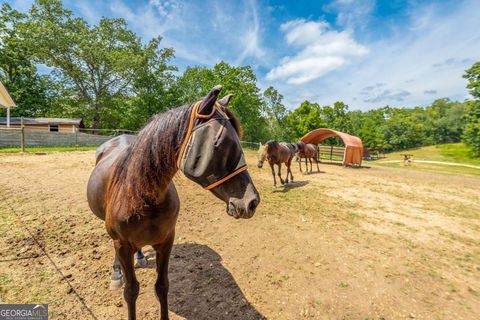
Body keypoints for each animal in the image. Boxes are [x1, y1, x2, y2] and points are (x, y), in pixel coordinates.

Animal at [86, 85, 258, 320]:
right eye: (218, 143)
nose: (252, 201)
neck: (144, 197)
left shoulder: (167, 240)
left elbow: (162, 286)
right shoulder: (121, 243)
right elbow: (131, 291)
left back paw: (140, 257)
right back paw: (116, 274)